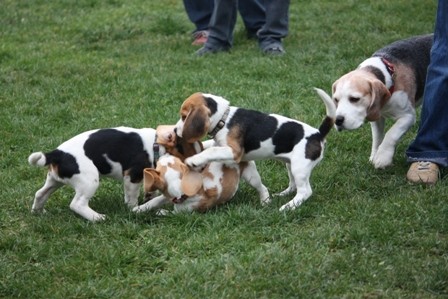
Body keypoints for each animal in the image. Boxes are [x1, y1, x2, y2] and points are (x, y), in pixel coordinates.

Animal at [27, 125, 201, 221]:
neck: (155, 145)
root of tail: (56, 153)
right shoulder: (132, 176)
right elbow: (132, 199)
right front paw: (134, 209)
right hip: (89, 180)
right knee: (77, 204)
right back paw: (98, 218)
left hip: (54, 180)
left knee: (40, 193)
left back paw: (39, 212)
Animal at [131, 154, 268, 214]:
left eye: (175, 158)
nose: (163, 154)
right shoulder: (168, 196)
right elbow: (155, 200)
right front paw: (139, 209)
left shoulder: (183, 213)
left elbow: (169, 213)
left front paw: (160, 212)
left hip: (251, 175)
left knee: (262, 187)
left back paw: (265, 200)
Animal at [173, 90, 334, 212]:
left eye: (184, 116)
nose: (174, 130)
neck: (224, 119)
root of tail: (318, 134)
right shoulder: (219, 143)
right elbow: (209, 145)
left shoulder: (234, 152)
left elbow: (212, 151)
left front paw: (194, 160)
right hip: (290, 165)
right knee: (293, 184)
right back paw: (283, 194)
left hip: (299, 167)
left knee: (305, 191)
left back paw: (288, 207)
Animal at [316, 34, 432, 170]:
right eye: (336, 100)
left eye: (354, 99)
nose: (337, 120)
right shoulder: (376, 117)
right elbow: (377, 138)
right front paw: (375, 155)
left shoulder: (408, 116)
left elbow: (391, 134)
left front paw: (382, 157)